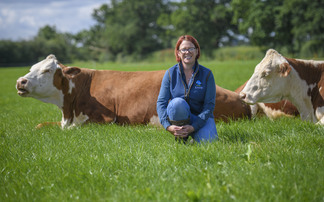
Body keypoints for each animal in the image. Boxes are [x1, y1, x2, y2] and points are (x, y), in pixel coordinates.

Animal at [16, 54, 251, 129]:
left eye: (47, 70)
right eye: (31, 68)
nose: (20, 81)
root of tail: (240, 97)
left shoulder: (105, 119)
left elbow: (74, 129)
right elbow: (41, 125)